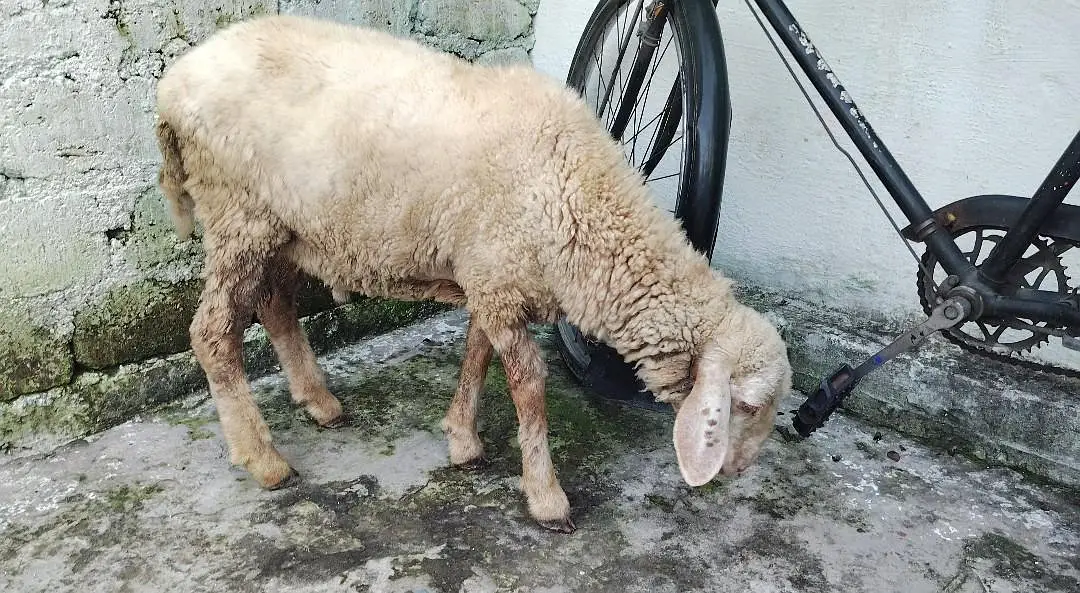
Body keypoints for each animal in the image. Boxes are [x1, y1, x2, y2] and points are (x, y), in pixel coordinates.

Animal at [154, 14, 792, 534]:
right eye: (747, 406)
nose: (737, 471)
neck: (579, 196)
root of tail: (173, 82)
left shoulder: (492, 277)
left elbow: (476, 353)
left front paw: (462, 438)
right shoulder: (500, 281)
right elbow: (529, 388)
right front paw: (546, 496)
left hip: (281, 224)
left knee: (276, 305)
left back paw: (319, 402)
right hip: (236, 210)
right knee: (212, 333)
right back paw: (264, 460)